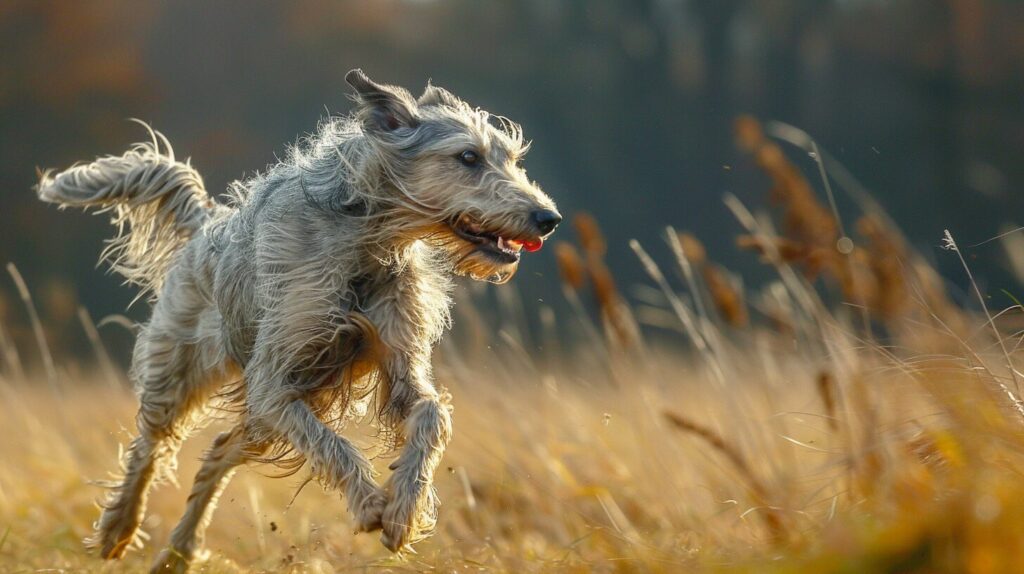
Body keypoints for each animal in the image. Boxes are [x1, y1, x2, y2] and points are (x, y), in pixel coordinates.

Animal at [36, 69, 561, 568]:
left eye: (512, 159)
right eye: (468, 157)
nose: (548, 218)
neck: (364, 242)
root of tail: (207, 224)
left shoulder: (395, 364)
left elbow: (431, 416)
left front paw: (404, 510)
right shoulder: (275, 380)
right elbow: (333, 445)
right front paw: (370, 503)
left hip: (270, 415)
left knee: (217, 451)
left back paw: (180, 551)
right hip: (183, 374)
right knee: (150, 446)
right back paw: (119, 527)